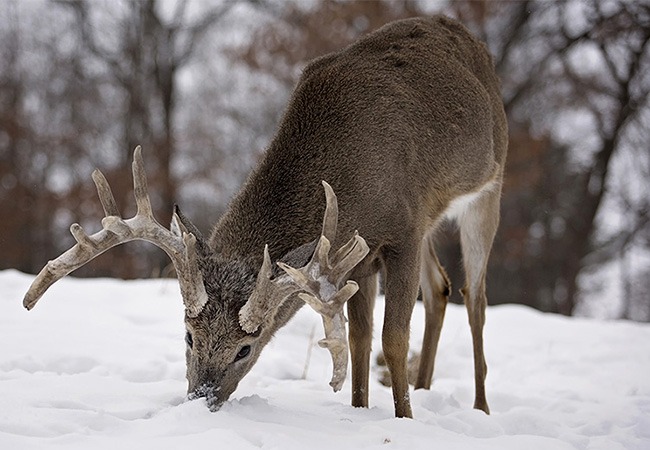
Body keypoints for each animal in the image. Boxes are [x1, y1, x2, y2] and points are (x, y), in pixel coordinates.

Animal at [21, 16, 506, 418]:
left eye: (246, 348)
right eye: (188, 336)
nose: (200, 402)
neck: (350, 173)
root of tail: (469, 38)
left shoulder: (402, 231)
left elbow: (392, 338)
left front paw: (403, 420)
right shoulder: (355, 259)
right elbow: (359, 339)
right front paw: (359, 412)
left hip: (489, 187)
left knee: (476, 298)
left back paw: (481, 407)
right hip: (433, 224)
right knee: (440, 289)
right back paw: (426, 389)